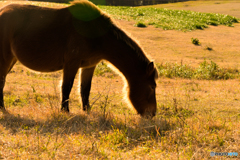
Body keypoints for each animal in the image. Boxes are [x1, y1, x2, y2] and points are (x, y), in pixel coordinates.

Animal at [0, 0, 158, 117]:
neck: (96, 34)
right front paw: (65, 111)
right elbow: (66, 87)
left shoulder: (89, 66)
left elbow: (85, 89)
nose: (153, 114)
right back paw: (3, 109)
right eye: (152, 86)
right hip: (5, 59)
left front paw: (87, 110)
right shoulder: (71, 63)